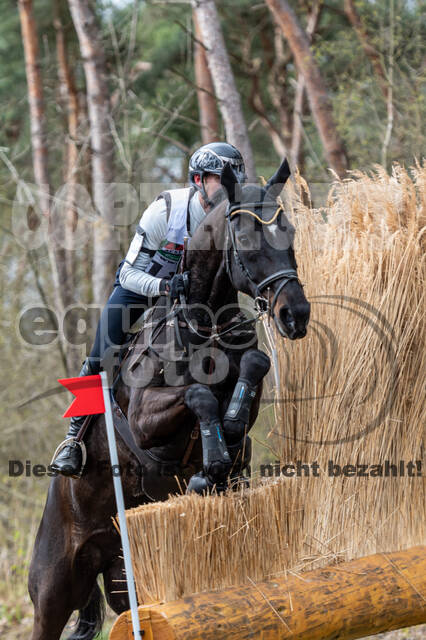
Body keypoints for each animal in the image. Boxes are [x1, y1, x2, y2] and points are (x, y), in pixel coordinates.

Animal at [30, 160, 310, 640]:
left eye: (288, 234)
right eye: (246, 243)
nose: (296, 315)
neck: (203, 323)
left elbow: (253, 366)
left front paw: (229, 436)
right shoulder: (145, 422)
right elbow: (199, 394)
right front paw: (214, 458)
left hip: (124, 576)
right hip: (53, 590)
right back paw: (70, 451)